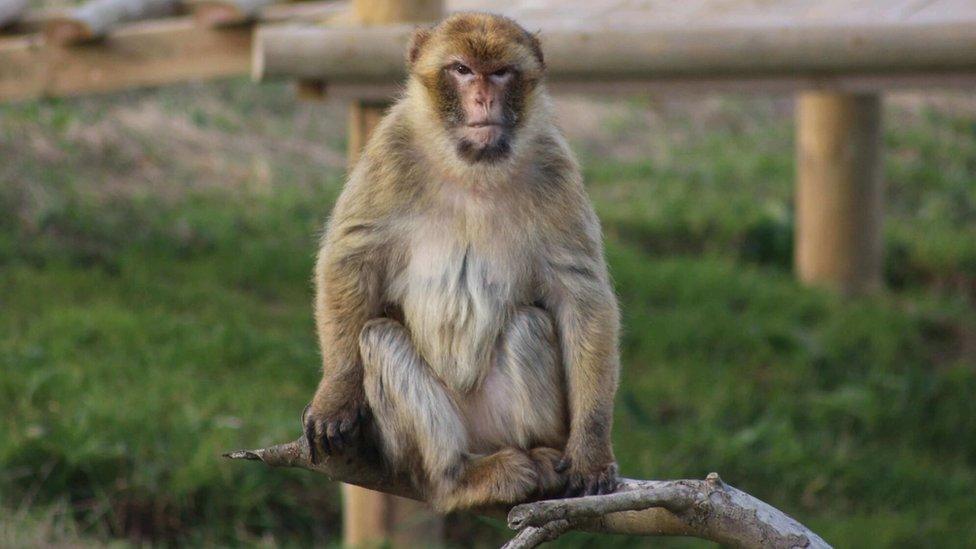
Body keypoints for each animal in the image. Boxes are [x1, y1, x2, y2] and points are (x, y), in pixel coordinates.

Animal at [304, 11, 620, 510]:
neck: (473, 168)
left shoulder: (554, 166)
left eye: (501, 72)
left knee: (529, 324)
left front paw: (590, 451)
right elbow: (350, 259)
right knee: (379, 338)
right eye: (462, 70)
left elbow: (582, 299)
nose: (483, 97)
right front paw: (336, 395)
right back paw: (459, 477)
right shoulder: (390, 150)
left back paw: (539, 457)